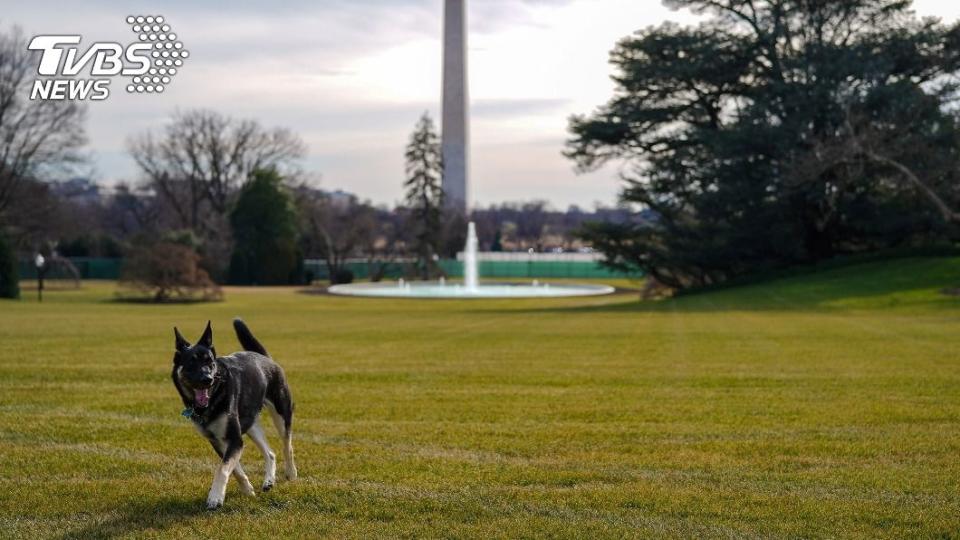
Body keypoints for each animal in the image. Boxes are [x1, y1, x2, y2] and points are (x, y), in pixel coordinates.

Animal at [170, 318, 296, 508]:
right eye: (191, 363)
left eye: (210, 362)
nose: (207, 379)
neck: (213, 396)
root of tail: (265, 358)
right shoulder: (219, 441)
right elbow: (234, 469)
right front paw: (248, 490)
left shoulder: (234, 439)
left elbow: (222, 468)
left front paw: (215, 497)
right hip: (251, 424)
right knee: (270, 453)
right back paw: (268, 481)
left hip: (281, 413)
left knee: (287, 444)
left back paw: (290, 473)